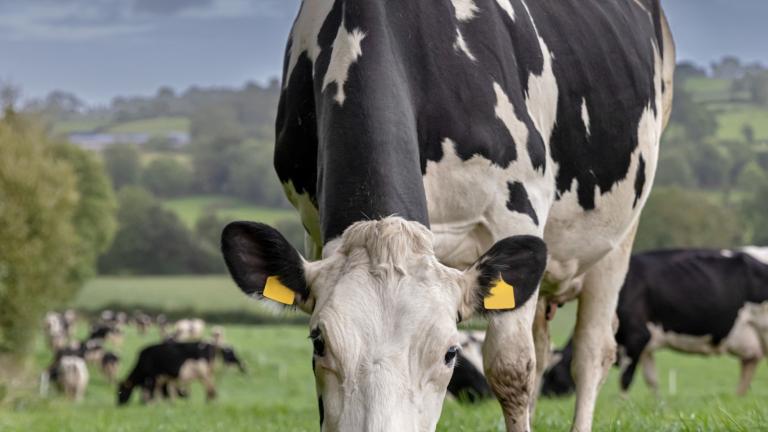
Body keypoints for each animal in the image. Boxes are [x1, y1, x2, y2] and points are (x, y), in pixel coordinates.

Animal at [220, 1, 674, 430]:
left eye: (450, 352)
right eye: (318, 342)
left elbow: (511, 368)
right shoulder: (314, 229)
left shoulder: (516, 211)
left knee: (590, 353)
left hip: (620, 234)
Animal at [541, 248, 768, 397]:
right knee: (749, 365)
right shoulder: (645, 347)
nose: (544, 396)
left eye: (554, 374)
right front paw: (657, 405)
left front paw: (622, 406)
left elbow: (625, 379)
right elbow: (652, 379)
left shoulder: (637, 336)